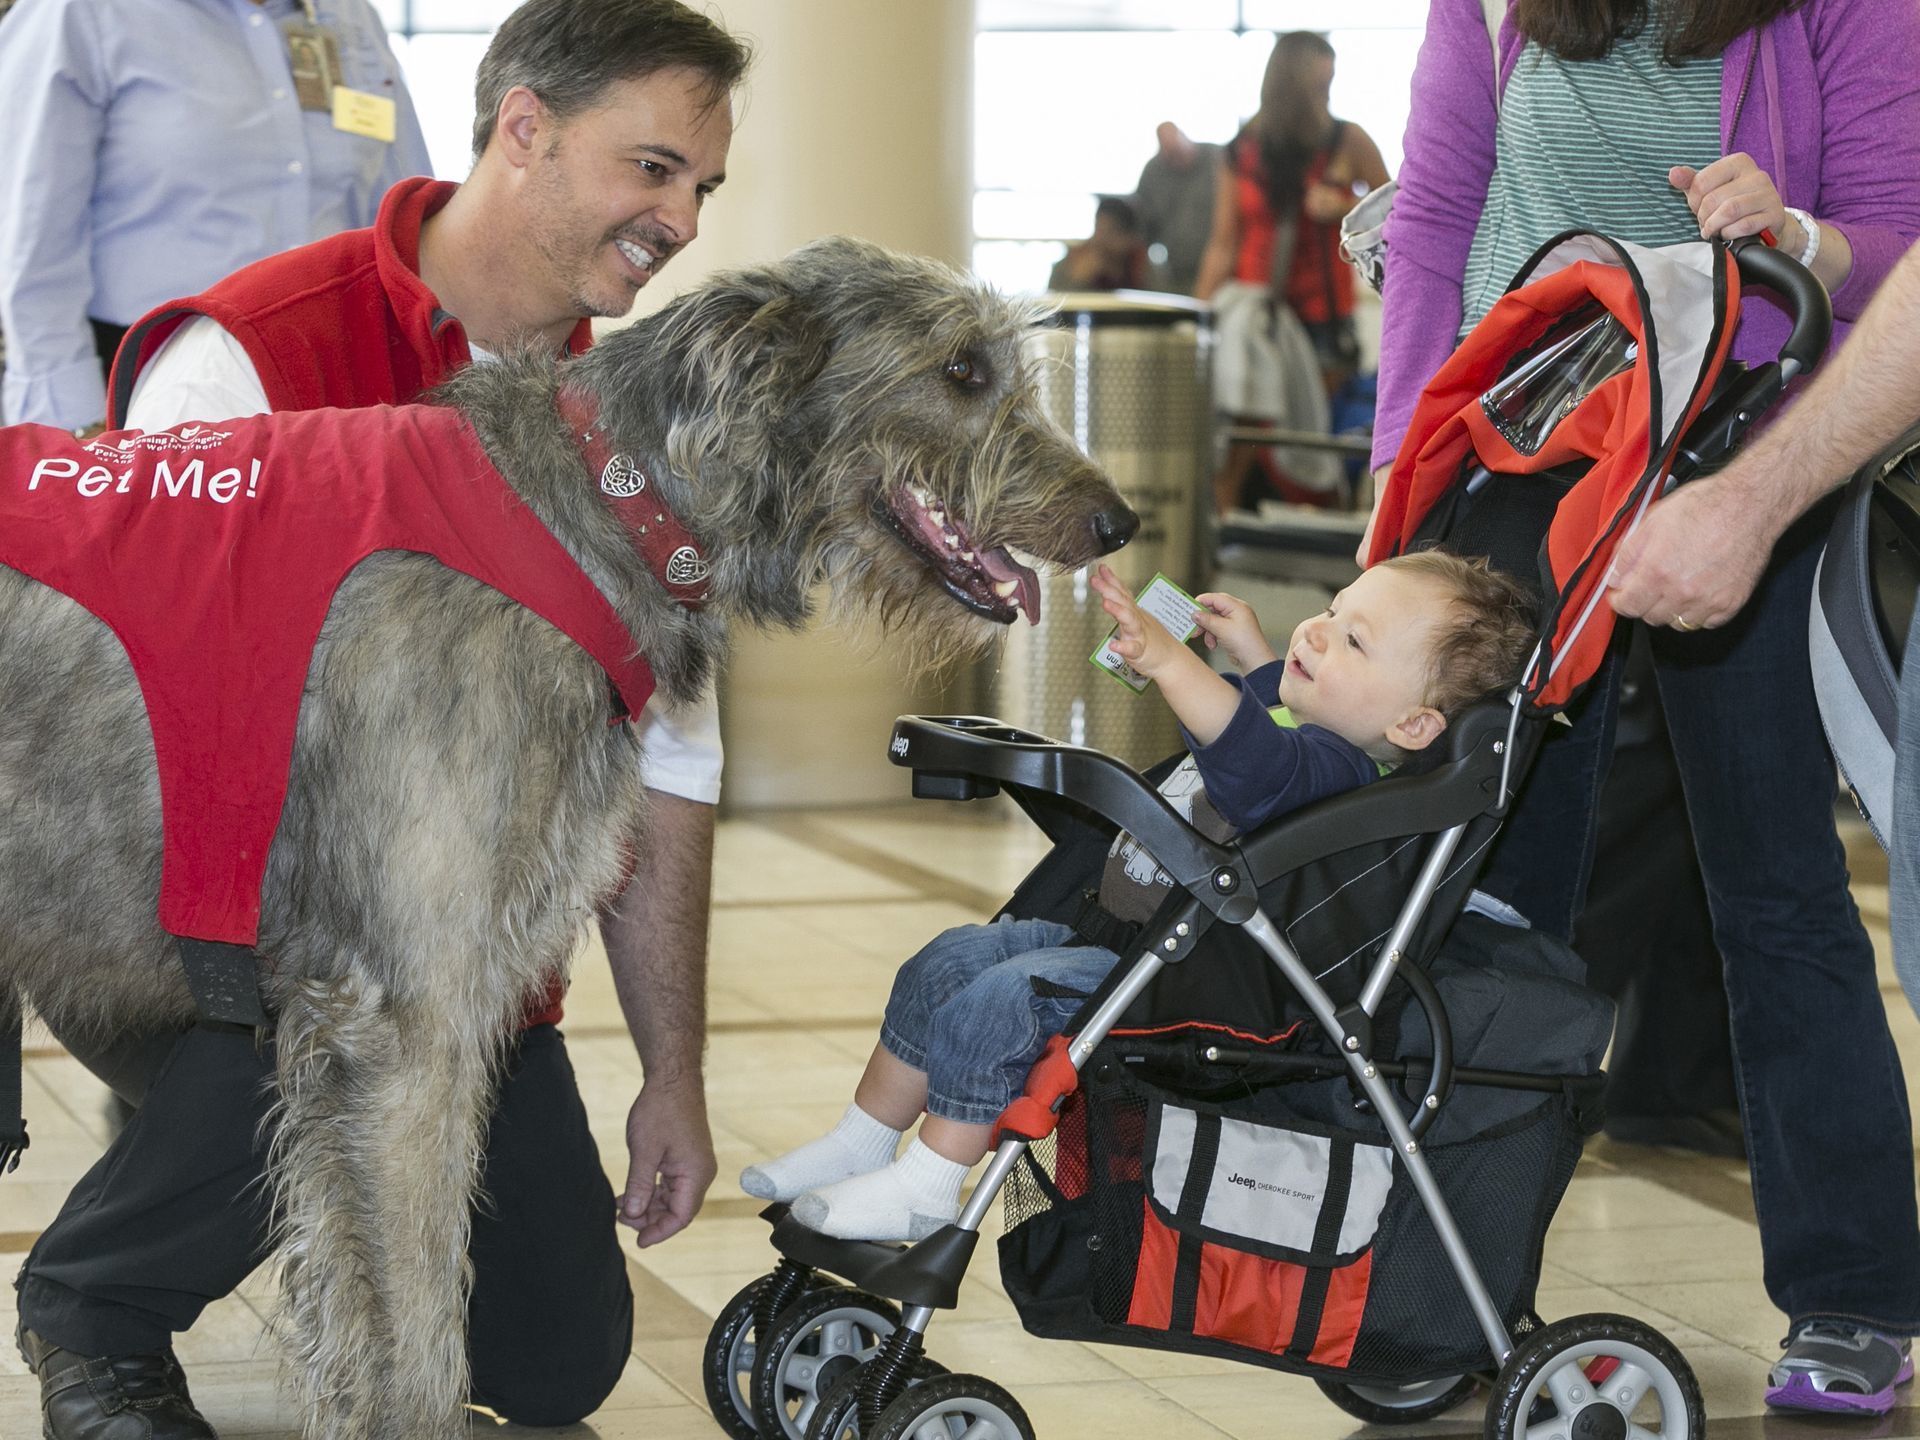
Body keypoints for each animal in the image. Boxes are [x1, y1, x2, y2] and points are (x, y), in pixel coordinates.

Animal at [0, 240, 1128, 1440]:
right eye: (962, 368)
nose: (1119, 524)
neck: (599, 503)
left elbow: (357, 1307)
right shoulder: (404, 1019)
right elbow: (417, 1311)